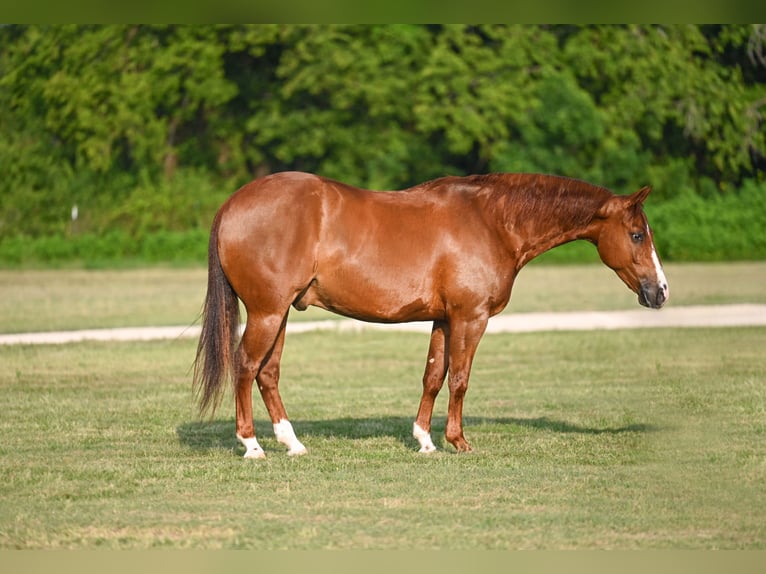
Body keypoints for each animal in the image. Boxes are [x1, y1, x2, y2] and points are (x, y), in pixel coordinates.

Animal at [193, 171, 669, 458]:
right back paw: (252, 445)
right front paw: (458, 441)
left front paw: (424, 439)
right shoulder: (471, 318)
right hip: (267, 313)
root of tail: (232, 204)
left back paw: (291, 443)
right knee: (246, 366)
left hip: (279, 315)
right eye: (637, 234)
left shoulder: (444, 319)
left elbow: (434, 376)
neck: (492, 222)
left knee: (268, 373)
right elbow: (459, 379)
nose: (660, 291)